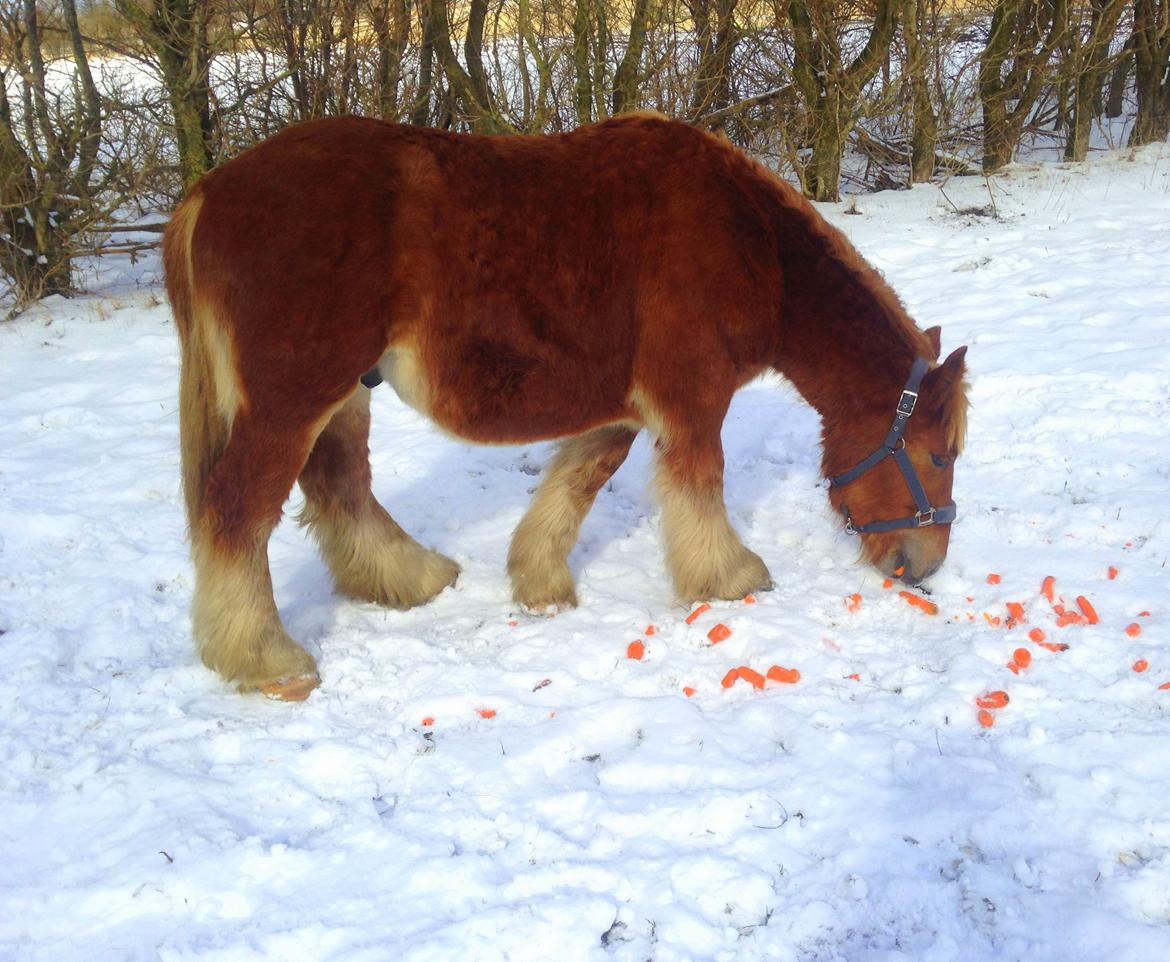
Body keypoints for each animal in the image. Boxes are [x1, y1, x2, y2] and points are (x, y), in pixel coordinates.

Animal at [164, 114, 968, 702]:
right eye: (937, 453)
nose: (923, 566)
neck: (750, 244)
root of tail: (210, 191)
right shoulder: (691, 400)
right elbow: (699, 488)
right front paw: (729, 578)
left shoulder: (619, 407)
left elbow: (579, 481)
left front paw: (539, 584)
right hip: (291, 403)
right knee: (238, 512)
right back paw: (267, 660)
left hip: (343, 396)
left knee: (338, 488)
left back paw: (410, 580)